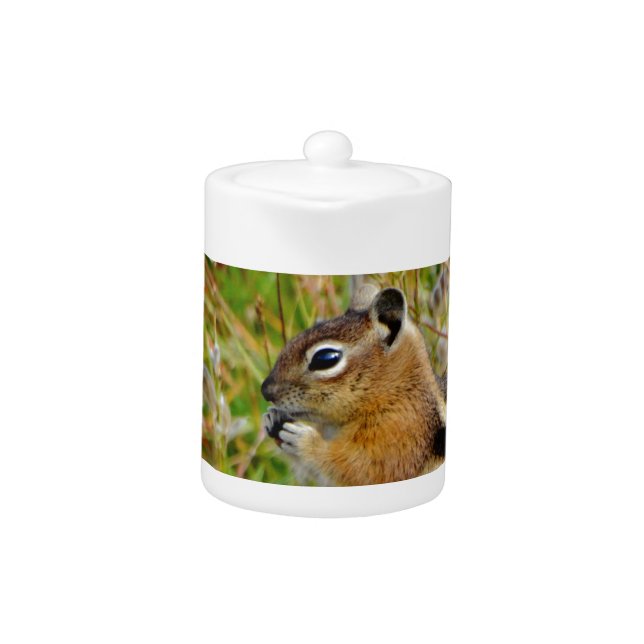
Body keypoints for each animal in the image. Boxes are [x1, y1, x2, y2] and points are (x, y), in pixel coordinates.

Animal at [261, 283, 446, 486]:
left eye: (325, 358)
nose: (265, 391)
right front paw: (272, 418)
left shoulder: (397, 435)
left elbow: (356, 469)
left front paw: (304, 440)